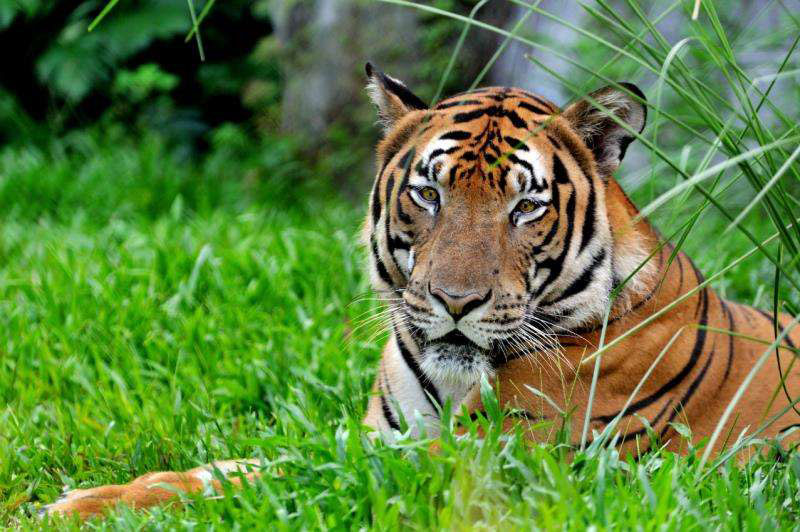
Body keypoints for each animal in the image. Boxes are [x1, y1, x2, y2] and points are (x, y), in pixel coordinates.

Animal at [43, 62, 800, 520]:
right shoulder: (381, 435)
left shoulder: (501, 459)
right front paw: (80, 500)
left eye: (526, 207)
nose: (455, 302)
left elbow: (289, 474)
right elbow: (235, 464)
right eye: (429, 194)